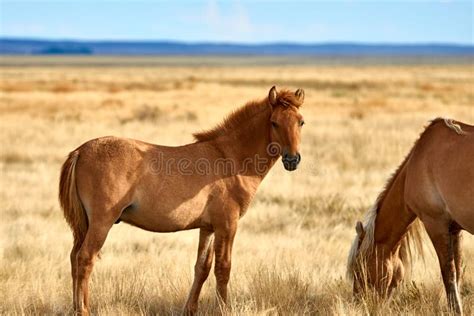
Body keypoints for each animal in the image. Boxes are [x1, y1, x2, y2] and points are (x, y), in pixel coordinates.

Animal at [59, 86, 306, 314]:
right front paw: (224, 309)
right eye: (274, 123)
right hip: (102, 222)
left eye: (301, 122)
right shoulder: (227, 225)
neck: (229, 159)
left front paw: (190, 309)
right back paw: (83, 310)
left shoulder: (208, 228)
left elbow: (202, 268)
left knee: (74, 258)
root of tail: (80, 151)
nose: (292, 160)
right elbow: (223, 269)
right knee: (85, 259)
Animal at [348, 118, 474, 314]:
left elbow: (449, 275)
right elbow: (458, 273)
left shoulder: (435, 224)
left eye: (359, 269)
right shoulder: (455, 229)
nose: (358, 305)